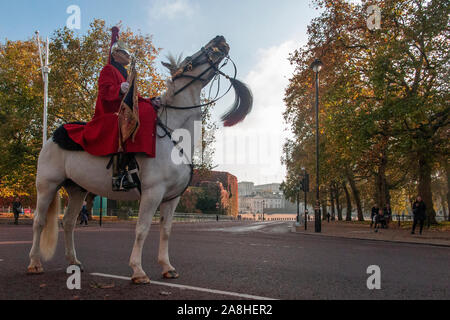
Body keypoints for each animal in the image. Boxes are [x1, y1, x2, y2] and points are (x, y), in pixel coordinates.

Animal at [27, 35, 253, 284]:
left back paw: (74, 261)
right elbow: (142, 228)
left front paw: (167, 266)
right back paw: (35, 263)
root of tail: (54, 135)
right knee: (39, 222)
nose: (219, 40)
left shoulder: (172, 198)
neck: (174, 135)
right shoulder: (152, 192)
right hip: (47, 185)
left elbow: (166, 230)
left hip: (77, 189)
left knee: (68, 222)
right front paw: (138, 270)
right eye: (189, 60)